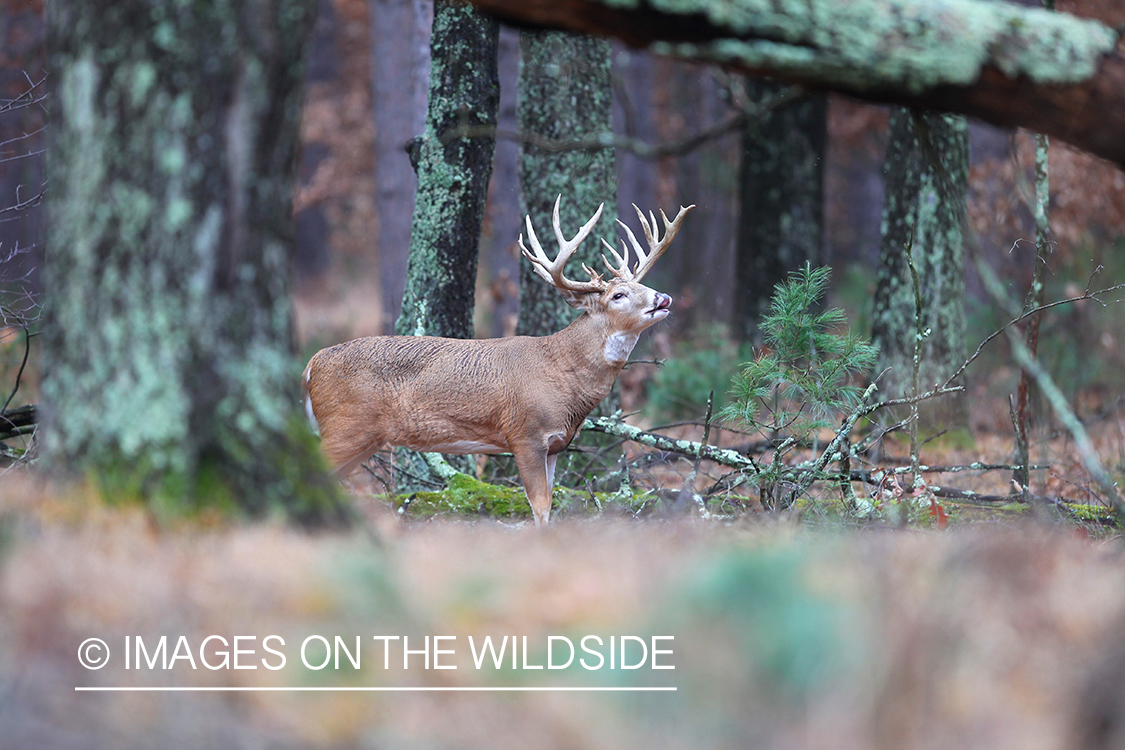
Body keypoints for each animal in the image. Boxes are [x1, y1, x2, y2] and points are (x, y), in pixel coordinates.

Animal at [308, 199, 693, 528]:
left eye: (642, 284)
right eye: (618, 295)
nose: (663, 297)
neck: (563, 376)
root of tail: (312, 364)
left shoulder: (556, 445)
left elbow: (549, 503)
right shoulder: (525, 434)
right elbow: (539, 506)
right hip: (345, 426)